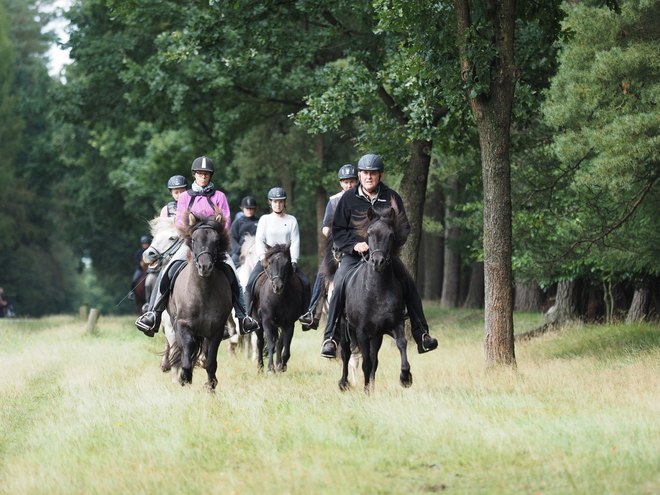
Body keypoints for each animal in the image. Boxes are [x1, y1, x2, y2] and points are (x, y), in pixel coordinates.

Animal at [166, 213, 233, 392]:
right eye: (194, 240)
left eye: (216, 240)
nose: (205, 267)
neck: (202, 293)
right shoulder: (183, 325)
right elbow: (187, 351)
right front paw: (185, 377)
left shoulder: (216, 329)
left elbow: (211, 362)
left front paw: (211, 385)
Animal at [253, 244, 310, 376]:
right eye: (269, 262)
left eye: (286, 263)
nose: (277, 286)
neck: (279, 299)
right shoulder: (267, 322)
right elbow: (270, 344)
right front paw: (270, 369)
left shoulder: (288, 324)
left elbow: (284, 347)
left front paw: (281, 366)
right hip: (258, 323)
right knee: (260, 343)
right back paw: (260, 368)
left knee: (279, 343)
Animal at [340, 202, 412, 396]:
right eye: (370, 233)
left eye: (391, 235)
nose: (378, 261)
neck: (376, 291)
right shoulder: (362, 332)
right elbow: (365, 363)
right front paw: (366, 390)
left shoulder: (395, 325)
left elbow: (401, 344)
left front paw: (405, 377)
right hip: (344, 328)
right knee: (345, 353)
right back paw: (344, 383)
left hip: (376, 335)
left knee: (374, 359)